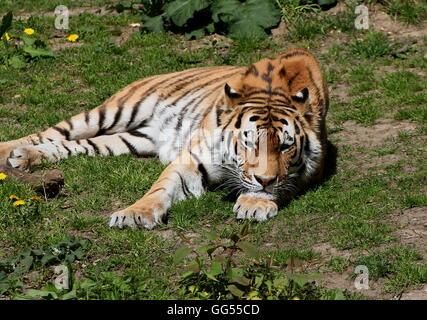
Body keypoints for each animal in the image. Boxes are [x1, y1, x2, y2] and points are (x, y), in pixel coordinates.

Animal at [0, 48, 330, 230]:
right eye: (248, 142)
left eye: (285, 146)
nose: (264, 179)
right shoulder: (191, 159)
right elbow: (158, 190)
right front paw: (134, 215)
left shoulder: (309, 170)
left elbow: (281, 184)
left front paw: (255, 202)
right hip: (114, 110)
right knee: (54, 132)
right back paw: (10, 150)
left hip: (132, 139)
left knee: (73, 145)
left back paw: (25, 156)